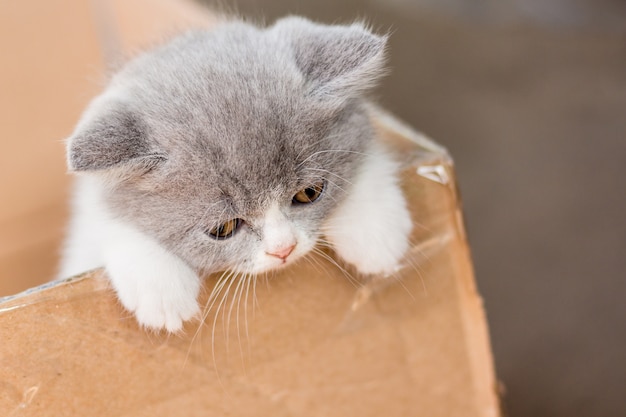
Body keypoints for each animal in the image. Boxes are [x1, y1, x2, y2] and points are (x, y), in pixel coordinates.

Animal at [57, 17, 410, 332]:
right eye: (222, 229)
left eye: (309, 193)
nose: (283, 249)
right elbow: (104, 220)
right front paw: (161, 288)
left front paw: (374, 233)